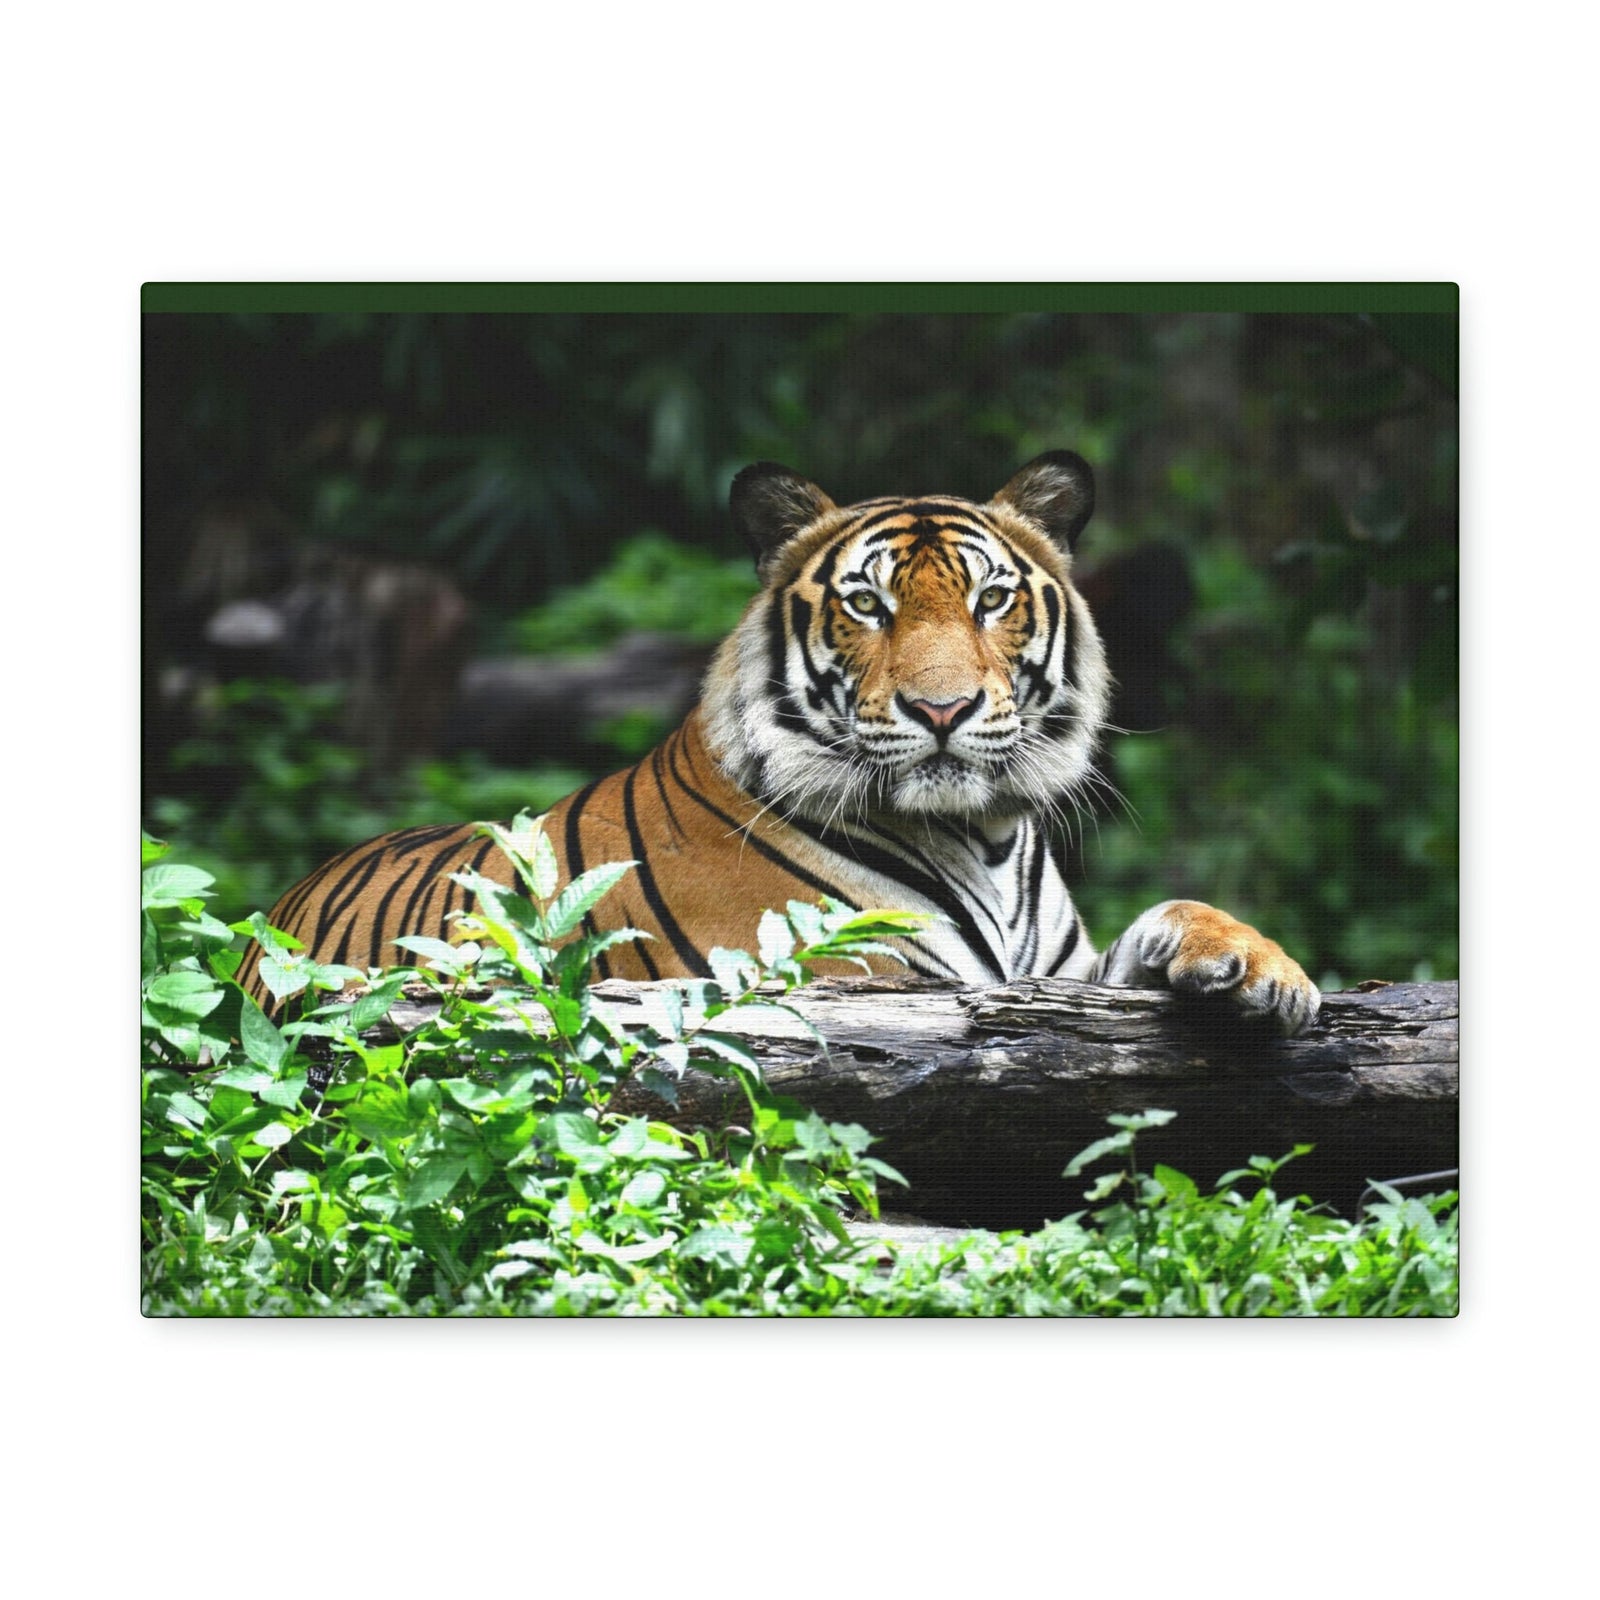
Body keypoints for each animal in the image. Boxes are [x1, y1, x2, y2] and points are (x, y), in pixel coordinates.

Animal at [238, 451, 1320, 1034]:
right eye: (867, 604)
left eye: (990, 599)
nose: (942, 710)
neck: (984, 836)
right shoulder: (855, 981)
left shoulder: (1059, 977)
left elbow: (1172, 913)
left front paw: (1263, 970)